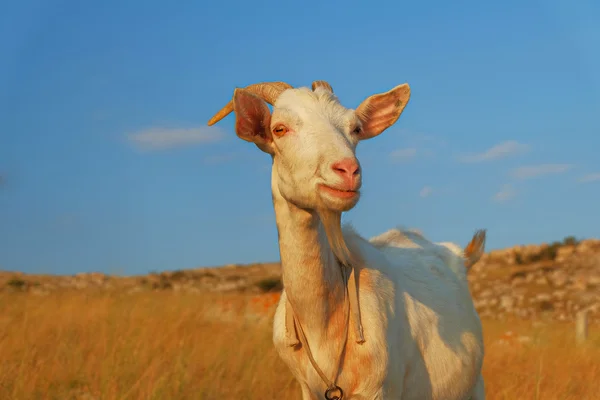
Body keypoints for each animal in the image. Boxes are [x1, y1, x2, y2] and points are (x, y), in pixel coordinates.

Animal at [209, 81, 486, 400]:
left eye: (355, 128)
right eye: (279, 129)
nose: (348, 170)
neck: (324, 322)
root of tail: (460, 256)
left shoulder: (381, 389)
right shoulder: (308, 389)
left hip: (474, 386)